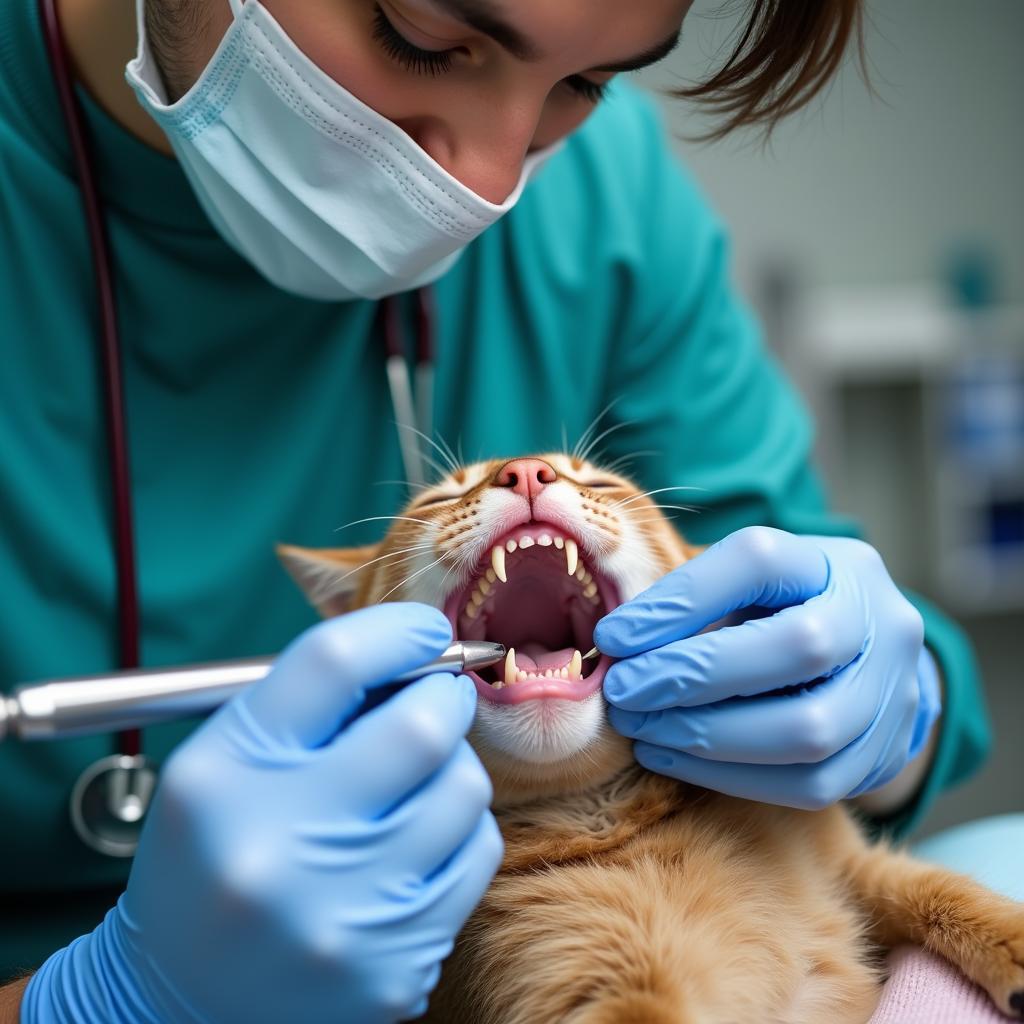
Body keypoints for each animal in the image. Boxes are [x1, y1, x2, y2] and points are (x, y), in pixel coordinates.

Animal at [280, 454, 1024, 1024]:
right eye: (438, 497)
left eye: (601, 483)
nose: (524, 471)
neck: (604, 810)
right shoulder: (592, 991)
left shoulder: (861, 866)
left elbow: (946, 892)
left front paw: (1014, 946)